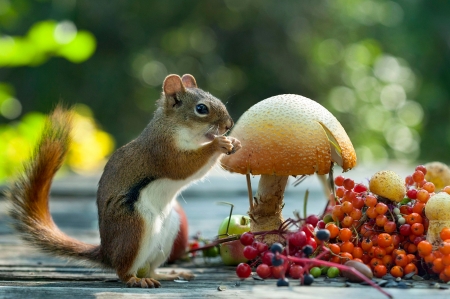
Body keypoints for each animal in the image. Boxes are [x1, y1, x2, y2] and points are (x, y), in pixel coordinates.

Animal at [5, 74, 241, 290]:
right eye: (201, 108)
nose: (229, 124)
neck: (173, 127)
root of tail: (107, 253)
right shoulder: (161, 151)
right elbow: (184, 166)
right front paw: (218, 144)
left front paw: (234, 142)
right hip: (134, 225)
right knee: (123, 270)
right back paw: (136, 279)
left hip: (169, 229)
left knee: (150, 267)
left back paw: (168, 274)